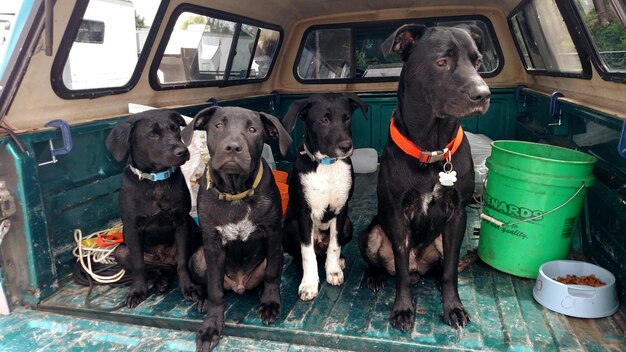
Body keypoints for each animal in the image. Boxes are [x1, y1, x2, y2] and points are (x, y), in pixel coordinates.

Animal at [105, 109, 201, 308]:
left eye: (175, 129)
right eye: (153, 134)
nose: (183, 151)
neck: (156, 182)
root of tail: (163, 258)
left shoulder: (181, 222)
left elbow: (182, 263)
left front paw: (188, 288)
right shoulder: (132, 229)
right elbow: (139, 266)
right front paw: (137, 292)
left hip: (193, 229)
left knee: (173, 266)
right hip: (120, 252)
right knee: (154, 269)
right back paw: (160, 281)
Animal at [183, 106, 292, 350]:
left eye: (252, 130)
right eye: (218, 125)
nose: (233, 147)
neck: (236, 193)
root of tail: (239, 285)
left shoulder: (273, 235)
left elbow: (272, 274)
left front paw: (271, 303)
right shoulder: (212, 245)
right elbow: (215, 291)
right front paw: (211, 326)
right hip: (197, 258)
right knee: (209, 284)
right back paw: (201, 299)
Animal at [282, 92, 366, 302]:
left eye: (347, 118)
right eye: (324, 120)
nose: (346, 146)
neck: (327, 165)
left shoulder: (342, 209)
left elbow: (335, 246)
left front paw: (333, 271)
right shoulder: (304, 213)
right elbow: (307, 252)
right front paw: (309, 283)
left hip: (348, 224)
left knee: (328, 250)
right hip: (290, 228)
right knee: (307, 253)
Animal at [358, 24, 490, 330]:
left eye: (478, 62)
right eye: (442, 62)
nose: (483, 94)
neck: (432, 148)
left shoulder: (457, 216)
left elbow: (450, 271)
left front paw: (453, 307)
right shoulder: (397, 216)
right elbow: (402, 271)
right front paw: (403, 309)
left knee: (441, 268)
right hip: (370, 233)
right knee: (385, 265)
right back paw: (375, 276)